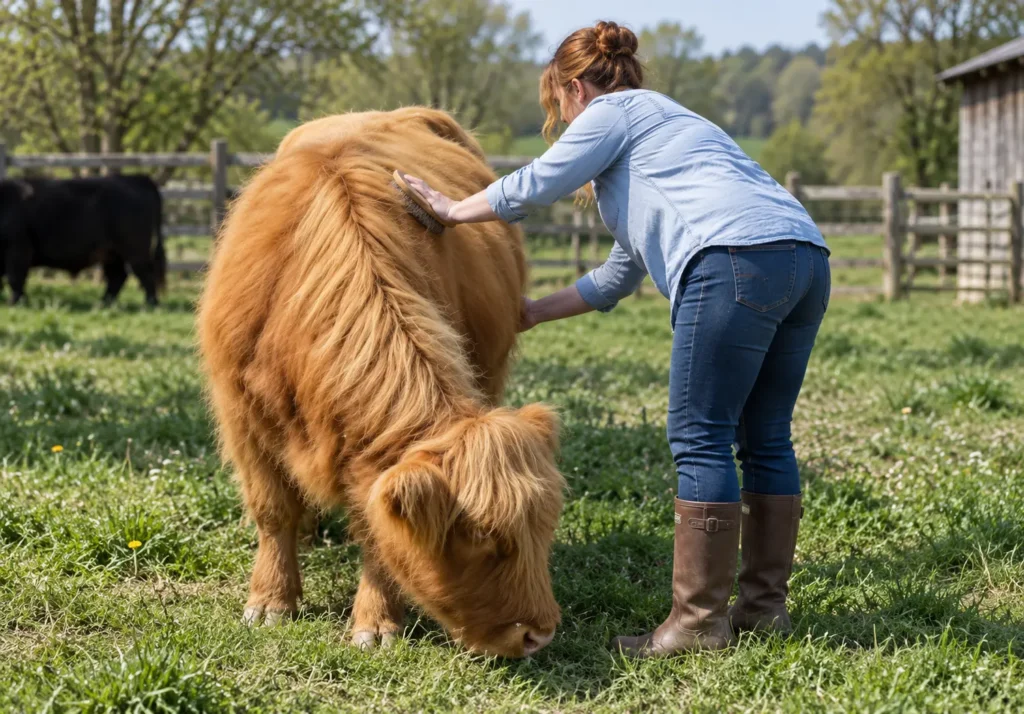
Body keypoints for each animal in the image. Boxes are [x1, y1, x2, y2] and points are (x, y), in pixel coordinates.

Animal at [0, 174, 166, 306]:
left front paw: (14, 302)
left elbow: (15, 278)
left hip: (135, 251)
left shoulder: (19, 249)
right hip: (112, 253)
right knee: (118, 277)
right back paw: (103, 304)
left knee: (145, 274)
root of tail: (136, 178)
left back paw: (150, 304)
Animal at [196, 108, 564, 658]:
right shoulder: (241, 416)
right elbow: (272, 509)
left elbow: (377, 531)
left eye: (545, 527)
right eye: (479, 536)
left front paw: (376, 622)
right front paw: (271, 601)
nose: (539, 633)